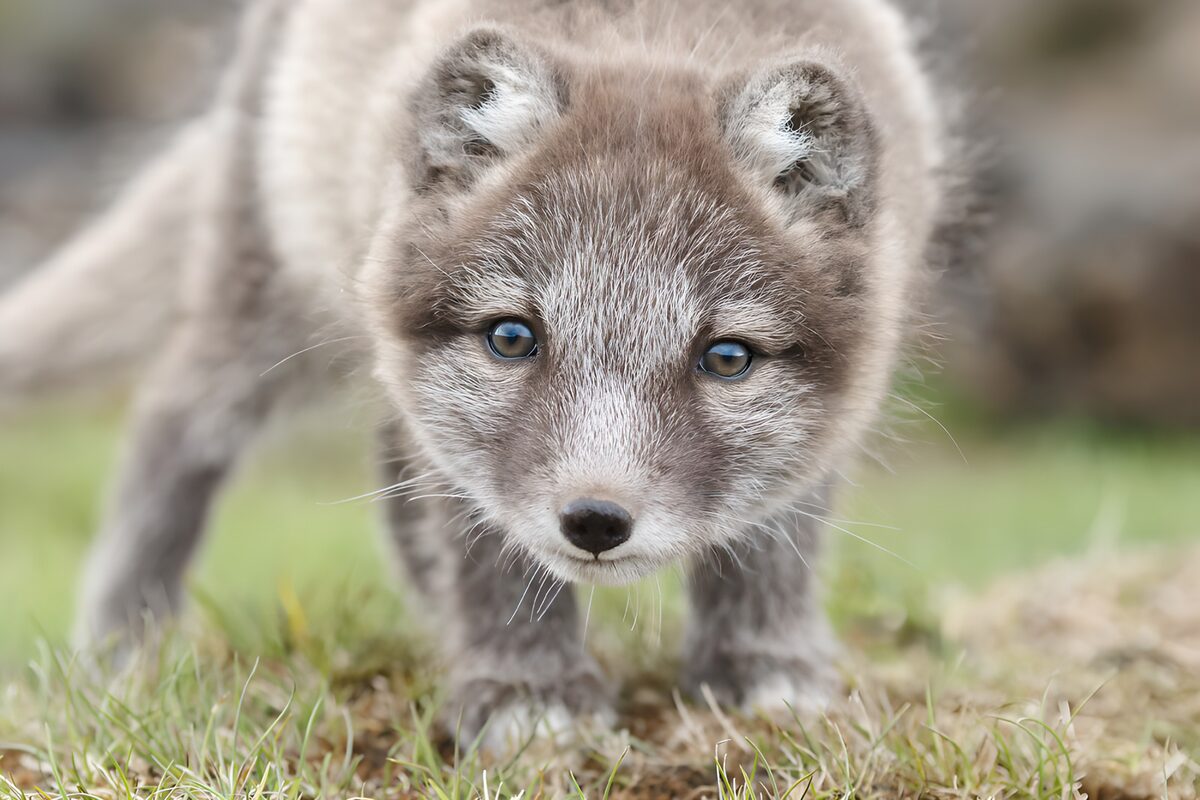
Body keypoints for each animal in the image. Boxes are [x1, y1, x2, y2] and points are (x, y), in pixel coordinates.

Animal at [0, 0, 970, 743]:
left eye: (726, 358)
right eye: (512, 338)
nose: (595, 520)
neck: (655, 27)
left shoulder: (830, 414)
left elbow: (775, 539)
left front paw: (762, 671)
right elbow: (490, 547)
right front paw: (526, 696)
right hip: (270, 282)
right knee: (173, 420)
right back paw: (125, 647)